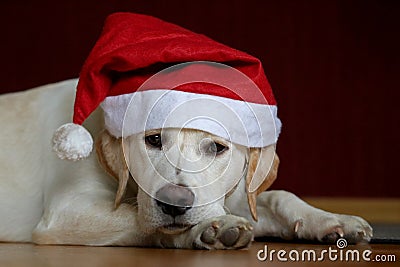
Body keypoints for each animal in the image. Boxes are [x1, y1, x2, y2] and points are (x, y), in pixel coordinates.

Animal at [0, 79, 372, 249]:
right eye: (153, 139)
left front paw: (329, 219)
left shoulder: (232, 195)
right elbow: (143, 221)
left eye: (217, 147)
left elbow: (277, 196)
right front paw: (206, 229)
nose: (174, 204)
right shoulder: (69, 211)